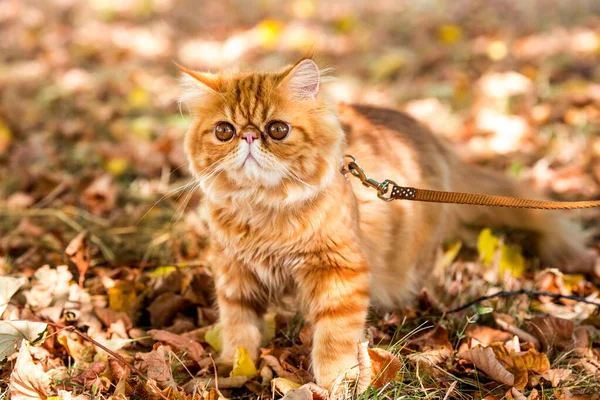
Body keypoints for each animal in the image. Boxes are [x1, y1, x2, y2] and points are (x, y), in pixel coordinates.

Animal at [180, 58, 592, 388]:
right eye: (224, 131)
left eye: (277, 129)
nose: (249, 136)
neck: (263, 210)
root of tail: (432, 139)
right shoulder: (234, 273)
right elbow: (239, 328)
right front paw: (235, 369)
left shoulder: (340, 272)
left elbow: (333, 339)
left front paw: (334, 383)